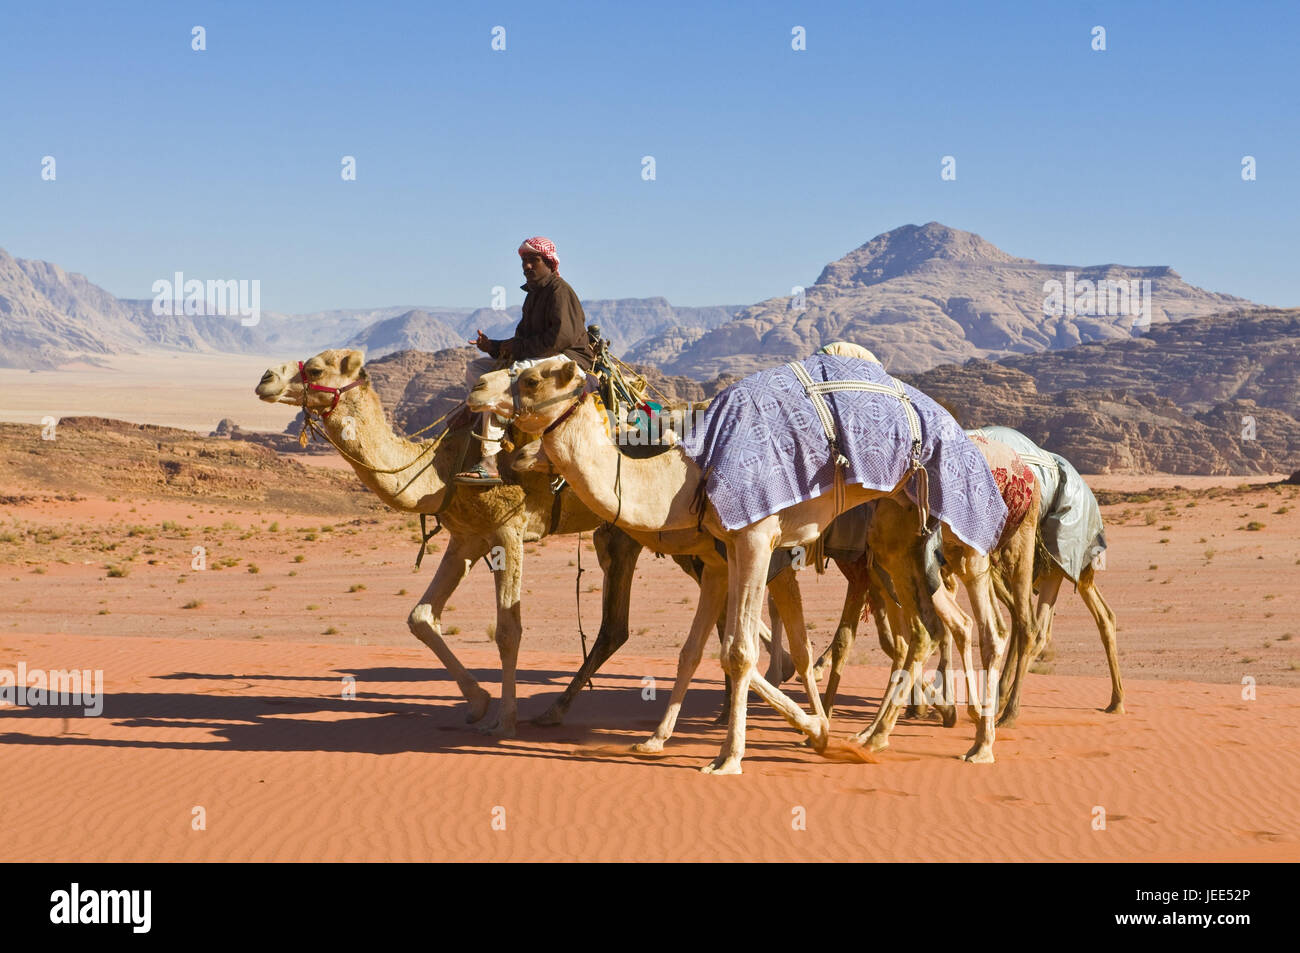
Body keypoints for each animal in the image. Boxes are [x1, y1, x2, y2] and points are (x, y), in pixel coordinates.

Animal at [473, 353, 1008, 769]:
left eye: (533, 379)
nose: (476, 388)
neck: (688, 475)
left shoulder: (754, 538)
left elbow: (741, 652)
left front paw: (732, 756)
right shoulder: (723, 556)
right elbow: (696, 651)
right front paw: (657, 740)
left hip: (959, 507)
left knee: (982, 624)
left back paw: (978, 744)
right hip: (898, 539)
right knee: (931, 630)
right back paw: (881, 736)